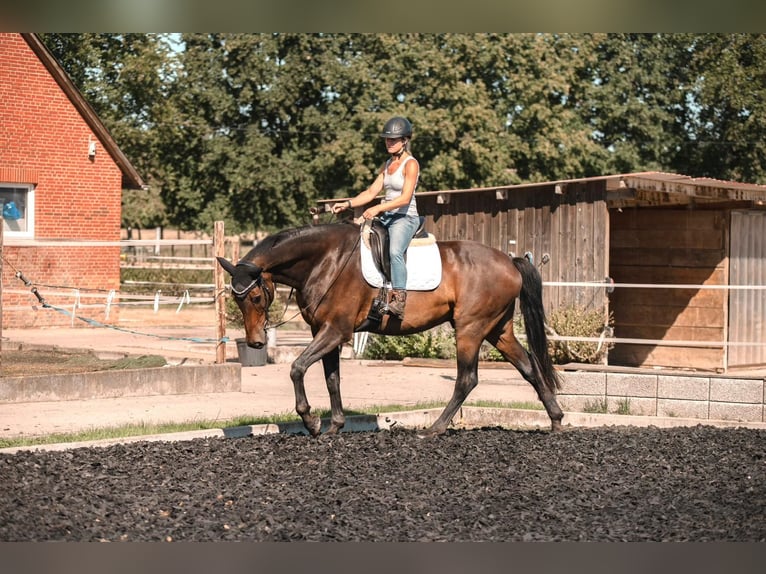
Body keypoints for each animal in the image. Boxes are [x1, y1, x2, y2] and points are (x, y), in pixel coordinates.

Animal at [216, 223, 564, 438]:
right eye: (236, 299)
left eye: (256, 297)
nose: (255, 343)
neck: (325, 260)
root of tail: (509, 260)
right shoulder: (323, 331)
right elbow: (332, 379)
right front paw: (334, 427)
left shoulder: (335, 330)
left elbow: (297, 367)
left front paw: (312, 422)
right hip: (498, 330)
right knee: (529, 367)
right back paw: (557, 420)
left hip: (470, 329)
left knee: (467, 379)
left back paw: (433, 429)